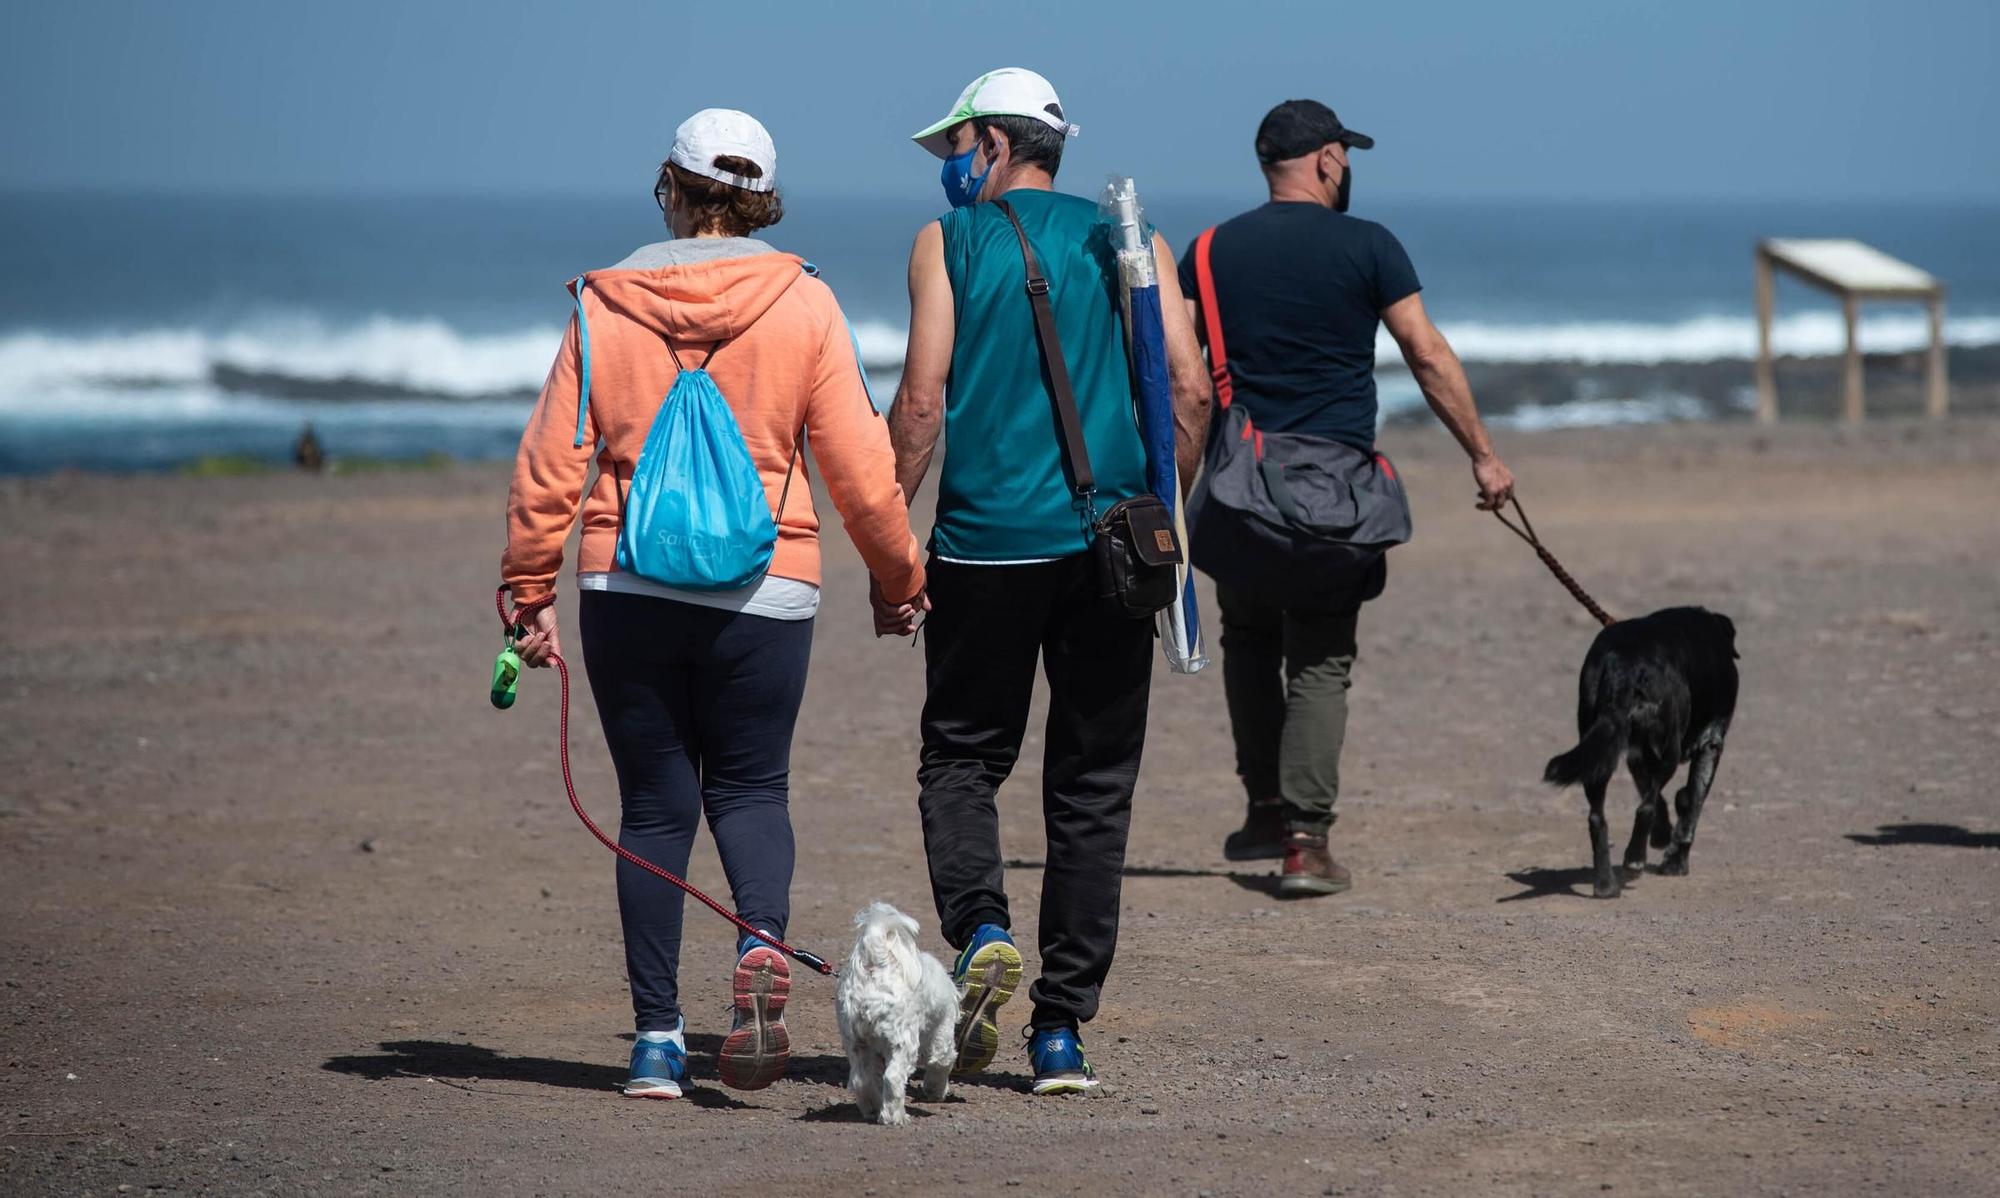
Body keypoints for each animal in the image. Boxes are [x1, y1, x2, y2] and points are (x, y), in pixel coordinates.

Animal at [836, 904, 960, 1128]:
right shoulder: (942, 1033)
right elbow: (941, 1062)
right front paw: (936, 1091)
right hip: (903, 1040)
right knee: (893, 1078)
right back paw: (895, 1117)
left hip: (855, 1040)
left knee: (861, 1079)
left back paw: (872, 1108)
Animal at [1544, 608, 1736, 900]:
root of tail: (1624, 665)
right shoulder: (1710, 743)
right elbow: (1691, 806)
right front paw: (1675, 861)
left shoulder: (1635, 754)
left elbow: (1664, 798)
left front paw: (1663, 833)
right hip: (1667, 750)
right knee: (1645, 808)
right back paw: (1634, 859)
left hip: (1599, 751)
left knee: (1598, 817)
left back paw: (1606, 885)